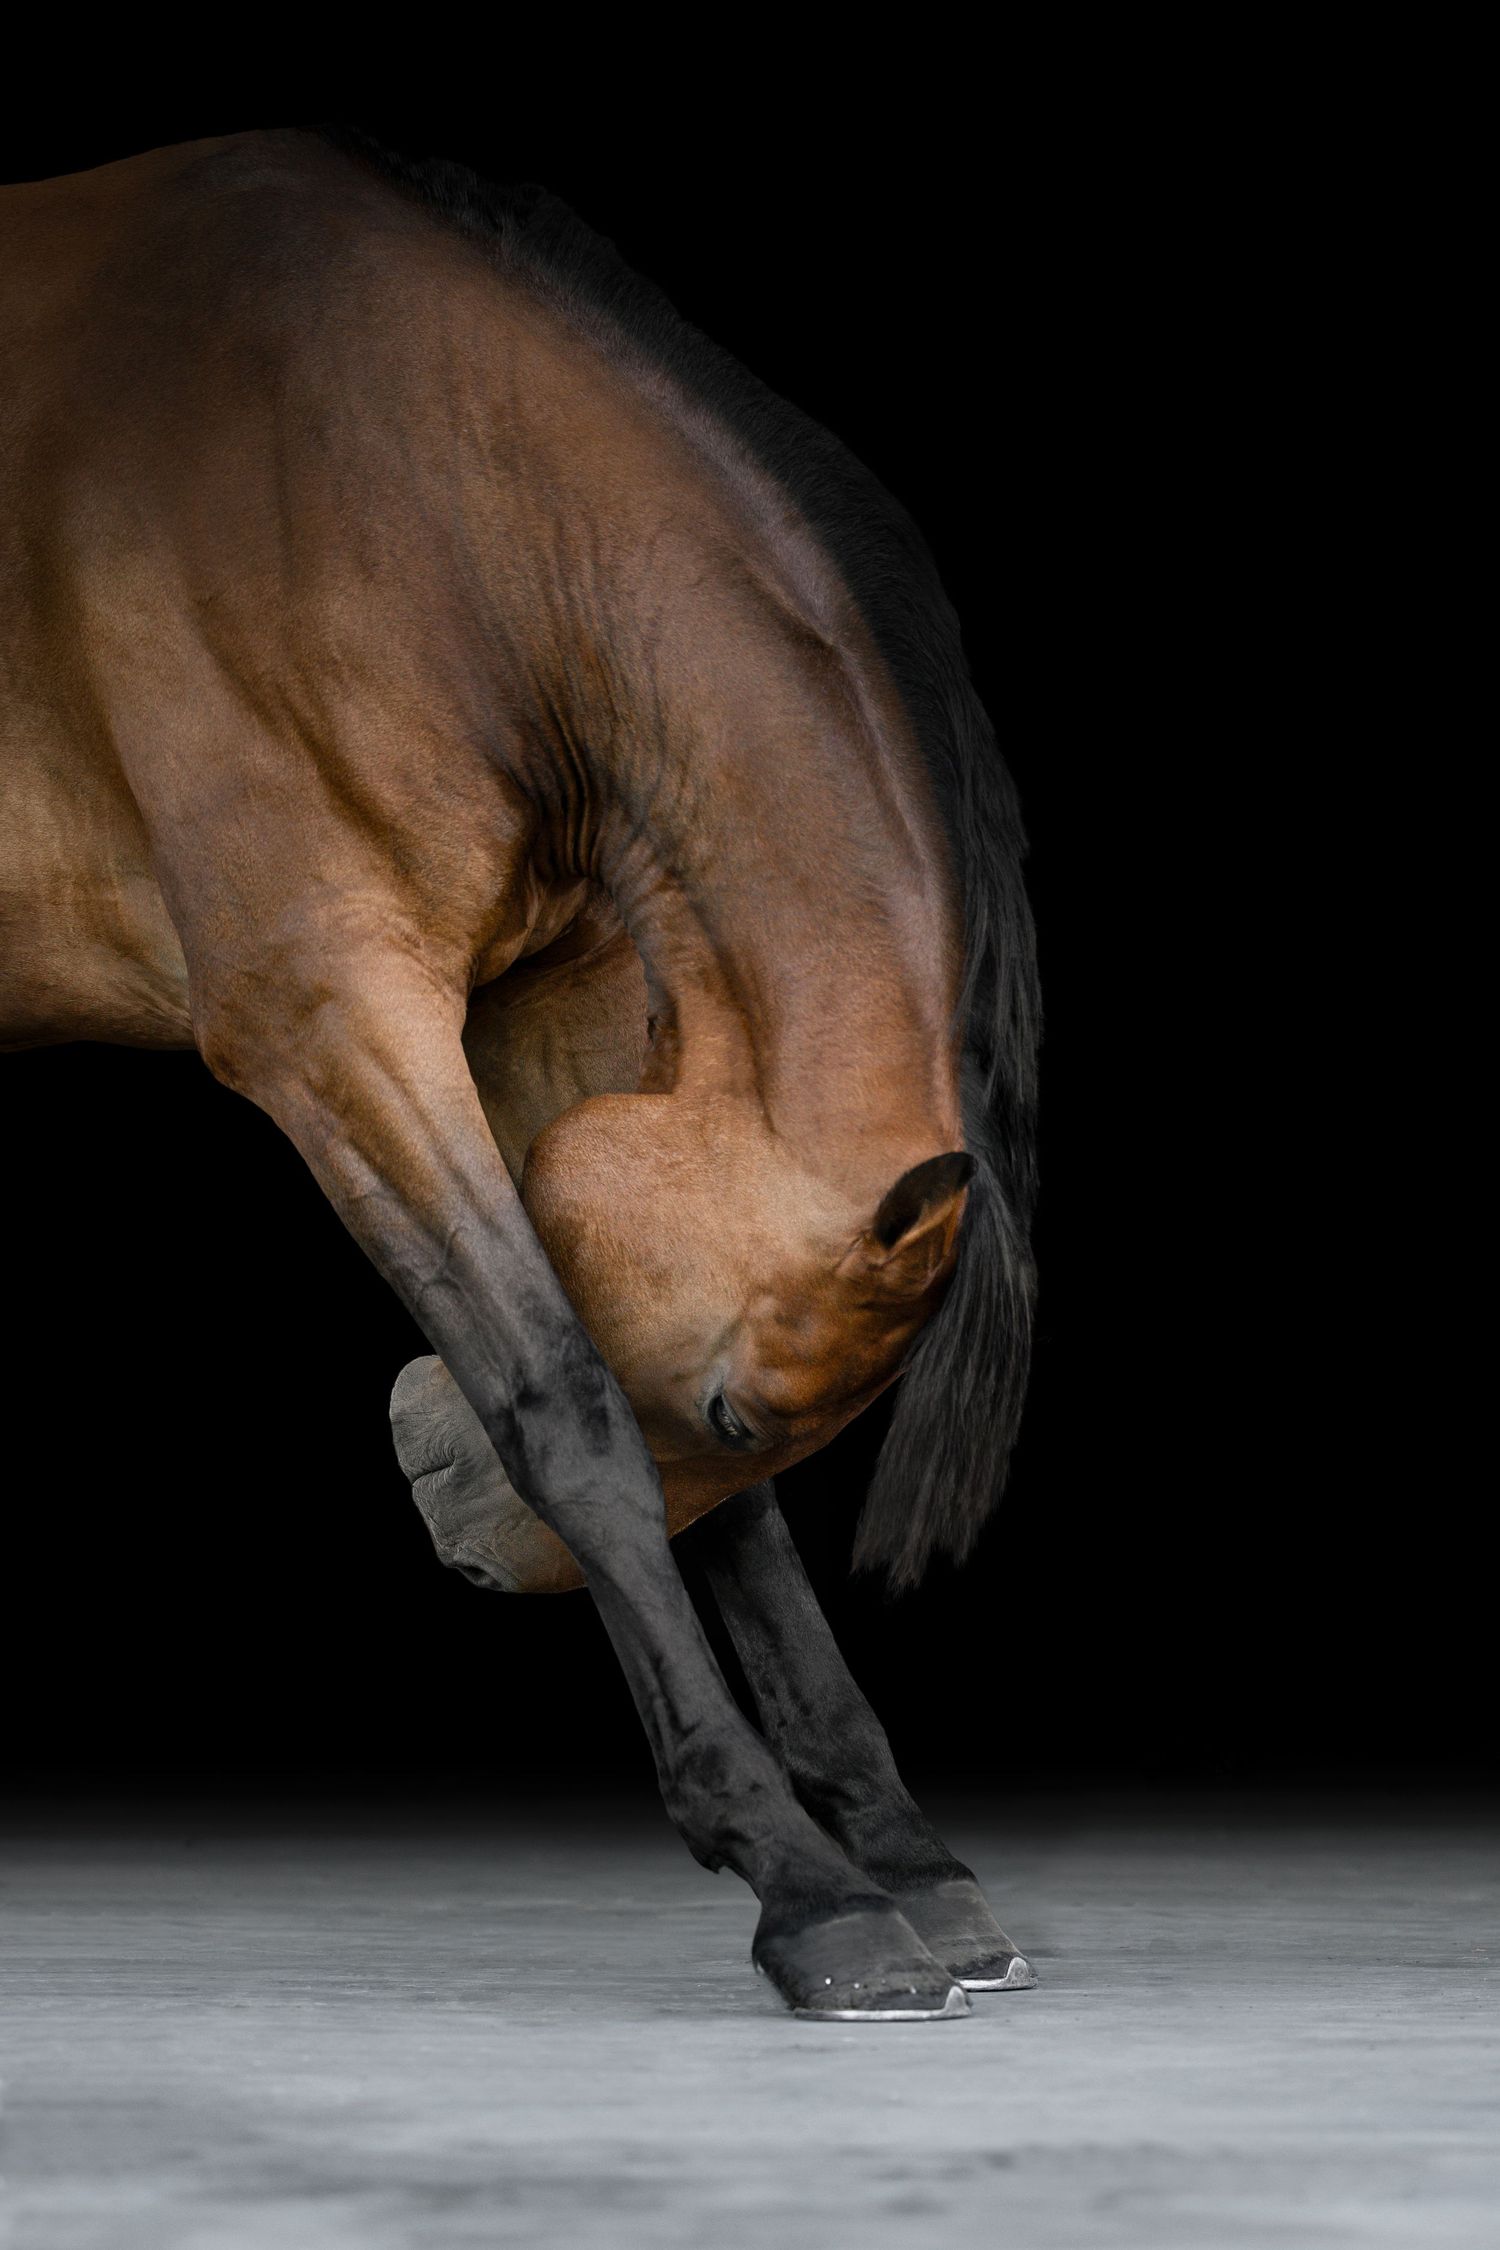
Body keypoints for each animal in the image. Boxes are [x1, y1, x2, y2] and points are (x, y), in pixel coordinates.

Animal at [0, 128, 1040, 2020]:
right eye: (741, 1415)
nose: (432, 1493)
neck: (397, 497)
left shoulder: (547, 1021)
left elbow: (707, 1488)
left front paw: (907, 1861)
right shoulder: (336, 1020)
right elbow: (566, 1402)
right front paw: (807, 1885)